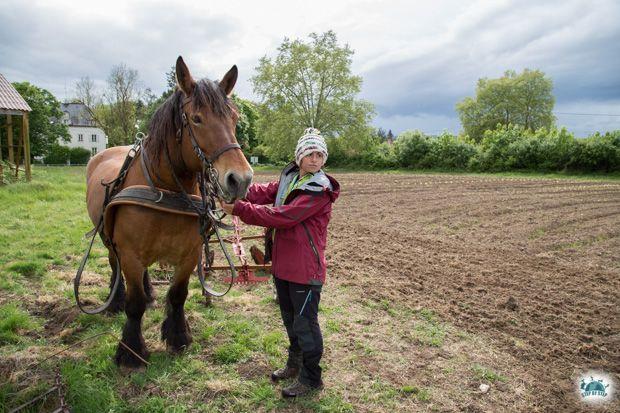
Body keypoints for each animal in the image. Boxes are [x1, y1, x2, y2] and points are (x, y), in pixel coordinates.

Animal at [86, 57, 253, 366]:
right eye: (197, 118)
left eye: (234, 118)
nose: (241, 179)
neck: (166, 190)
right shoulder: (129, 253)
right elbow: (135, 303)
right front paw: (131, 351)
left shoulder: (189, 255)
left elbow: (178, 295)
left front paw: (178, 337)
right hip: (108, 238)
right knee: (115, 266)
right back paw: (115, 302)